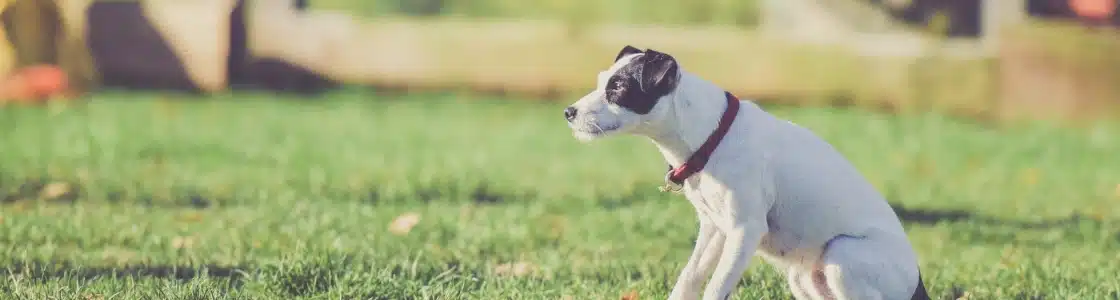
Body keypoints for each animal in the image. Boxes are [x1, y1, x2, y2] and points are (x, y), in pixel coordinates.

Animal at [564, 45, 931, 300]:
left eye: (618, 89)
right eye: (601, 81)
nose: (568, 112)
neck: (712, 135)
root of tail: (917, 285)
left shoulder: (744, 231)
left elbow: (715, 288)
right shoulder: (714, 229)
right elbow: (689, 279)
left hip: (842, 255)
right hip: (804, 278)